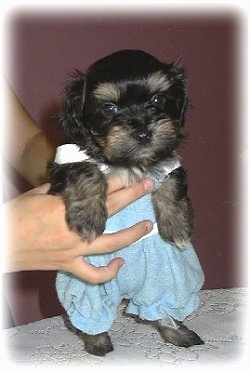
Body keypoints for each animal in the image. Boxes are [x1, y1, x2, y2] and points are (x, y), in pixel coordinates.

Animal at [49, 49, 205, 354]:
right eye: (109, 109)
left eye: (157, 100)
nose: (143, 131)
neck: (128, 162)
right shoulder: (64, 165)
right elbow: (86, 170)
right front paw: (88, 217)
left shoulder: (168, 159)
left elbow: (173, 181)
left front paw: (178, 227)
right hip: (90, 285)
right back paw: (97, 341)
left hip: (164, 283)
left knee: (160, 308)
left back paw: (176, 331)